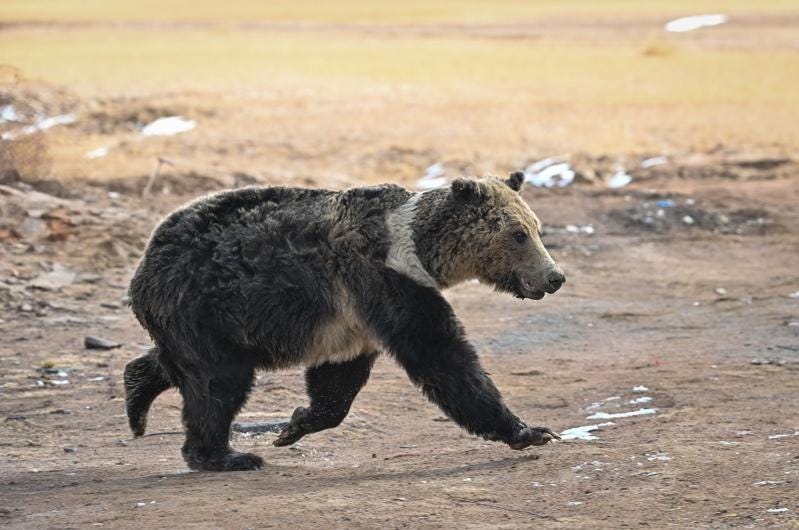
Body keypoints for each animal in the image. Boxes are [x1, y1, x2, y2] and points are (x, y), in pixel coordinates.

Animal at [124, 171, 566, 472]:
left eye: (536, 228)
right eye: (519, 234)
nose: (554, 277)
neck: (421, 251)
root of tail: (145, 261)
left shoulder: (354, 320)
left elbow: (337, 382)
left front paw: (294, 425)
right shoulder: (381, 278)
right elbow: (442, 357)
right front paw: (530, 431)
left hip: (198, 321)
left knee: (182, 367)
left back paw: (137, 398)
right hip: (205, 305)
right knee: (218, 384)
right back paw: (225, 455)